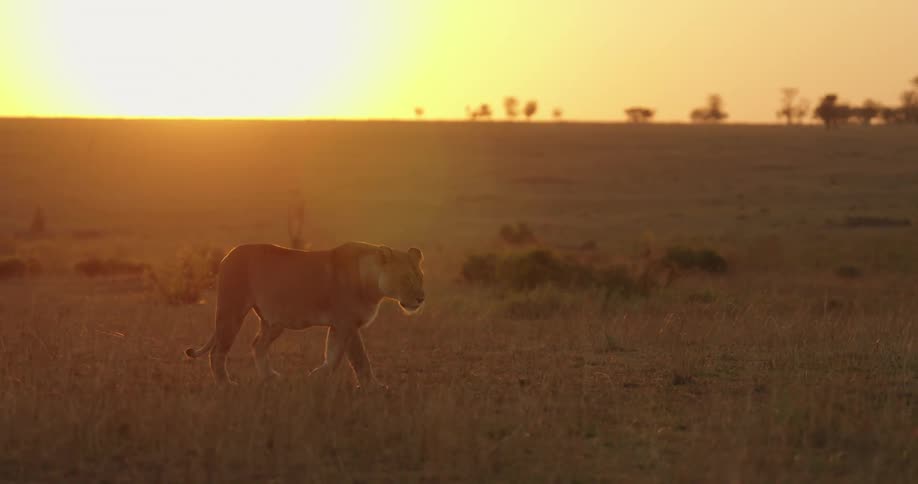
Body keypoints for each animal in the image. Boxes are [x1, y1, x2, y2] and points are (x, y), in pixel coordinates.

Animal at [184, 242, 425, 386]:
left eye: (420, 277)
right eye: (406, 279)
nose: (421, 299)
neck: (372, 282)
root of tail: (228, 253)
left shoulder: (340, 326)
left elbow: (333, 354)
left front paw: (317, 375)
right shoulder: (346, 323)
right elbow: (357, 358)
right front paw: (373, 386)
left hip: (275, 321)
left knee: (257, 345)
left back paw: (270, 377)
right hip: (231, 312)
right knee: (217, 352)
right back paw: (226, 384)